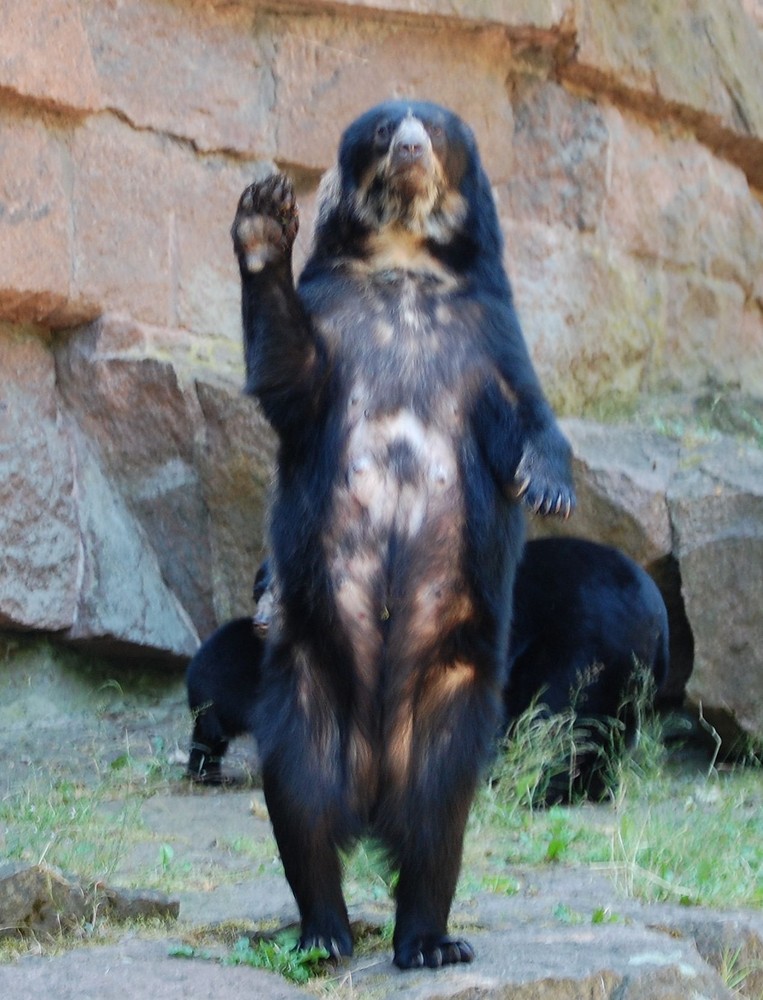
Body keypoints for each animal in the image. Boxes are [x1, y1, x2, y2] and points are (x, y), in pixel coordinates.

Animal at [230, 103, 576, 968]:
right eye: (386, 130)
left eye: (440, 130)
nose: (415, 144)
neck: (404, 266)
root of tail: (373, 779)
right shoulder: (331, 319)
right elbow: (290, 373)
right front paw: (263, 214)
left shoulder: (487, 333)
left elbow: (530, 411)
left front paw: (548, 485)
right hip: (308, 684)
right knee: (301, 802)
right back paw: (324, 931)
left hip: (449, 697)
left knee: (437, 821)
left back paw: (428, 940)